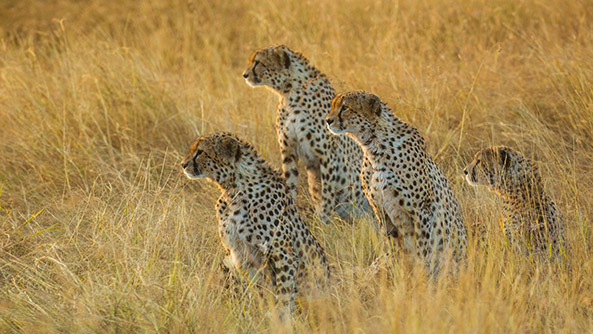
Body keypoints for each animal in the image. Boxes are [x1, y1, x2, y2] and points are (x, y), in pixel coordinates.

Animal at [180, 132, 328, 316]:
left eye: (200, 152)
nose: (183, 164)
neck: (233, 188)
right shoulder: (241, 254)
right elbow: (257, 290)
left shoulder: (282, 253)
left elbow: (284, 293)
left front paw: (281, 317)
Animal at [243, 43, 368, 222]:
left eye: (258, 63)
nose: (245, 75)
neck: (289, 93)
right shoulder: (288, 152)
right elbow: (290, 185)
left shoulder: (327, 155)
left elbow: (327, 194)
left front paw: (325, 222)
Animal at [324, 90, 468, 274]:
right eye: (333, 106)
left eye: (345, 107)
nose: (328, 120)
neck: (374, 146)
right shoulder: (381, 211)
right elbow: (394, 247)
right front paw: (399, 273)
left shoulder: (421, 210)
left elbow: (423, 248)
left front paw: (422, 275)